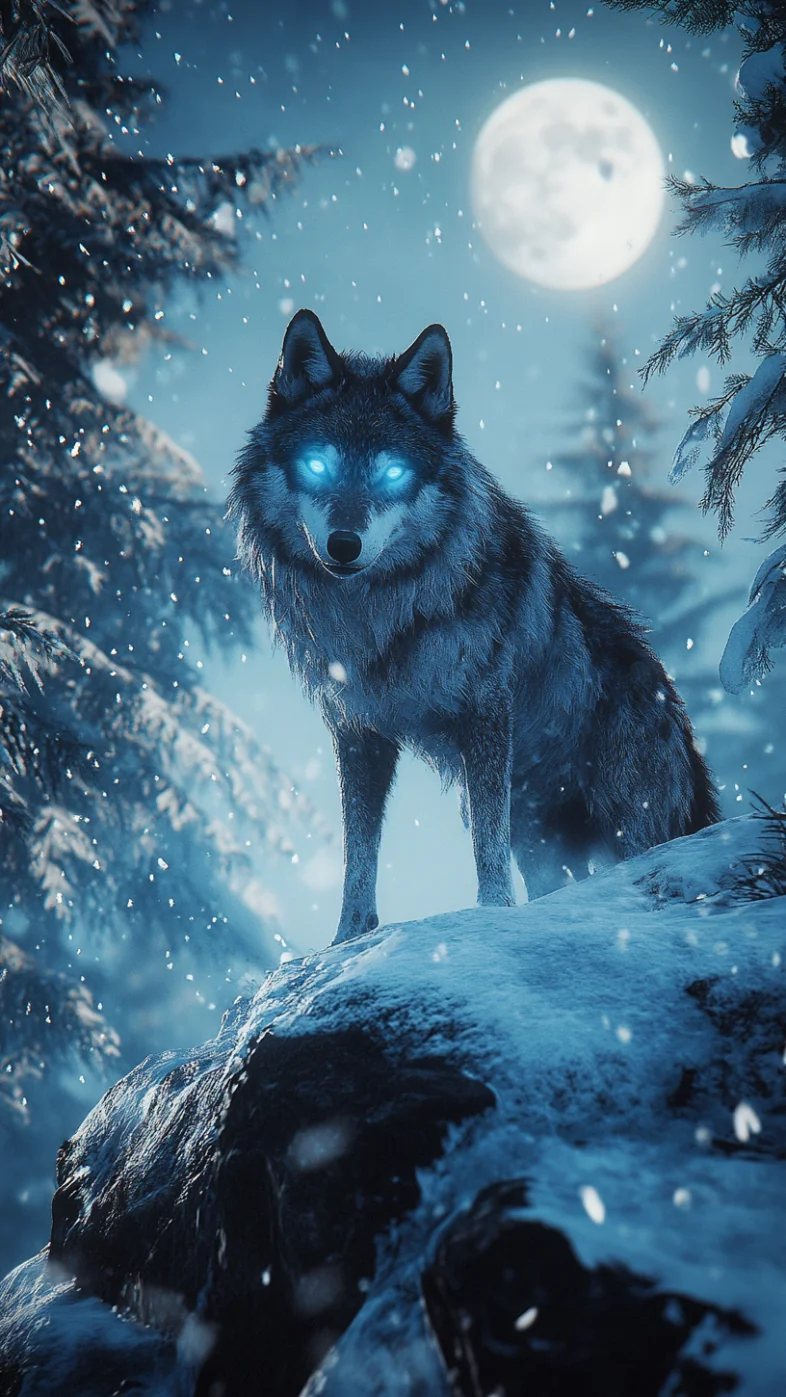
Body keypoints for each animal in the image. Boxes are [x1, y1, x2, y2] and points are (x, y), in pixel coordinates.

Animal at [229, 310, 720, 943]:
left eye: (392, 472)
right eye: (319, 464)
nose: (344, 545)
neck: (382, 616)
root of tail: (676, 709)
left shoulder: (485, 712)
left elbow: (486, 843)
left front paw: (491, 915)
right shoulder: (360, 733)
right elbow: (357, 854)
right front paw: (348, 939)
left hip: (623, 825)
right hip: (541, 835)